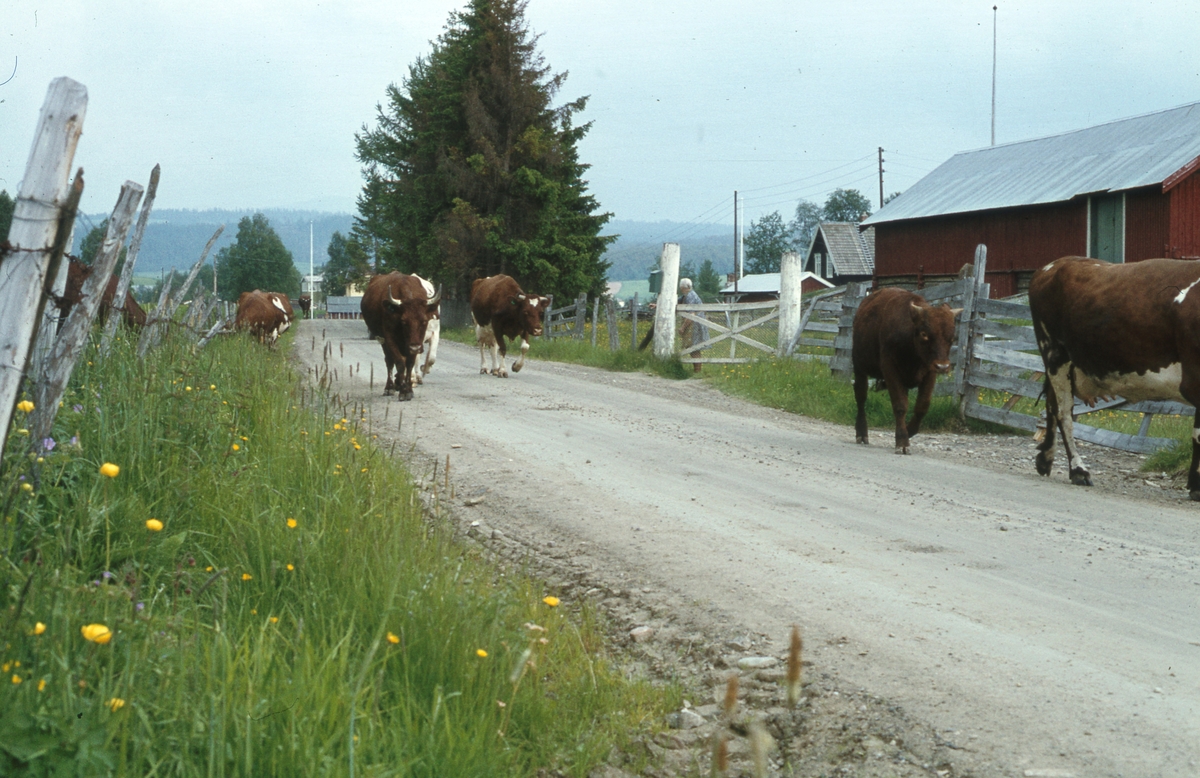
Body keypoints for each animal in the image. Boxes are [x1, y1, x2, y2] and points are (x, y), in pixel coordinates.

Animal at [364, 272, 446, 401]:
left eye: (424, 321)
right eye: (403, 321)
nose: (414, 347)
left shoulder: (428, 336)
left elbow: (417, 361)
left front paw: (409, 389)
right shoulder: (390, 338)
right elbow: (400, 363)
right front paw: (403, 390)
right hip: (383, 340)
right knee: (389, 361)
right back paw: (390, 387)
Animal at [849, 288, 960, 453]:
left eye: (952, 337)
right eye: (924, 334)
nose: (943, 367)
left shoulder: (930, 372)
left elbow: (922, 406)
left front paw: (909, 430)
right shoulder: (890, 369)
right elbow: (900, 405)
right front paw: (902, 440)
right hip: (859, 367)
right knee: (861, 397)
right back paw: (862, 433)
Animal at [1027, 255, 1200, 499]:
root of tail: (1055, 264)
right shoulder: (1195, 380)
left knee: (1051, 404)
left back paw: (1045, 459)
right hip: (1055, 353)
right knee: (1064, 413)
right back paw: (1079, 471)